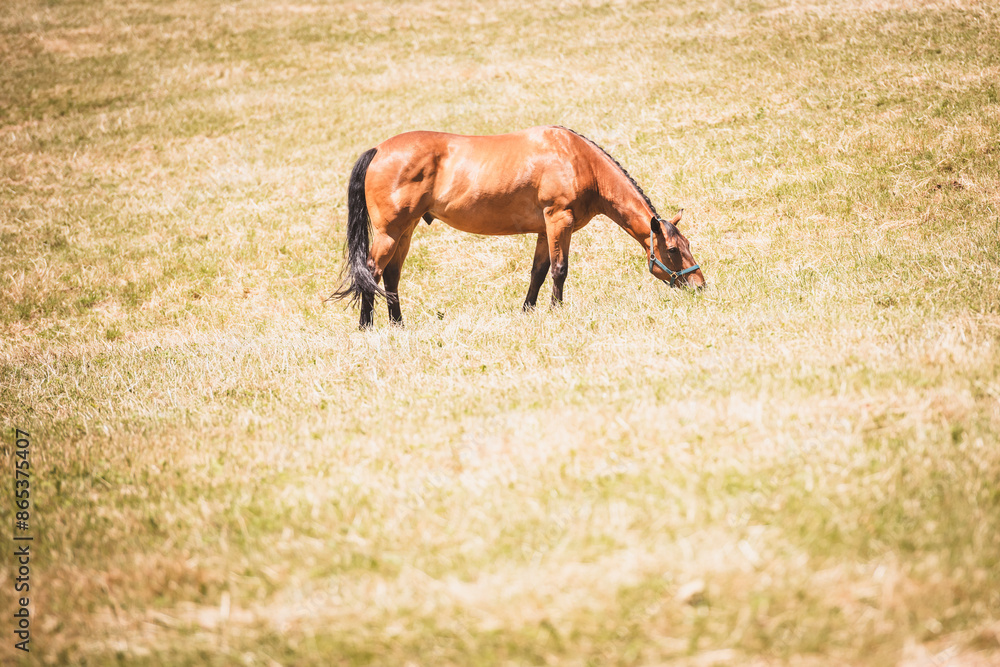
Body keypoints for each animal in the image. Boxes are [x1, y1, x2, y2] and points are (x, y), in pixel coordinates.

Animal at [331, 126, 705, 328]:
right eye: (673, 250)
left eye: (687, 245)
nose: (699, 285)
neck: (577, 159)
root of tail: (378, 150)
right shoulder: (558, 220)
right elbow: (559, 269)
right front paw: (556, 311)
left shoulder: (544, 229)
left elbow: (538, 271)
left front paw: (529, 311)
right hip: (390, 233)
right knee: (371, 272)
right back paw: (367, 326)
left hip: (405, 231)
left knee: (391, 276)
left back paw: (398, 324)